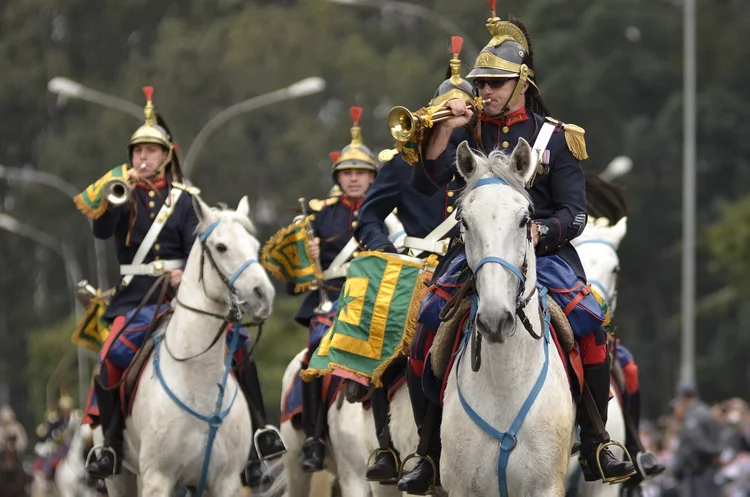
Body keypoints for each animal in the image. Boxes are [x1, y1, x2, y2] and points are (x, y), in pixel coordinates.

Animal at [101, 197, 284, 496]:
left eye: (255, 246)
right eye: (221, 247)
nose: (263, 295)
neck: (199, 382)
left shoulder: (226, 481)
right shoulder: (157, 478)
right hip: (121, 479)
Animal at [440, 140, 576, 496]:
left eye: (524, 219)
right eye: (464, 221)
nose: (494, 320)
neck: (506, 382)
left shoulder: (546, 486)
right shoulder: (461, 488)